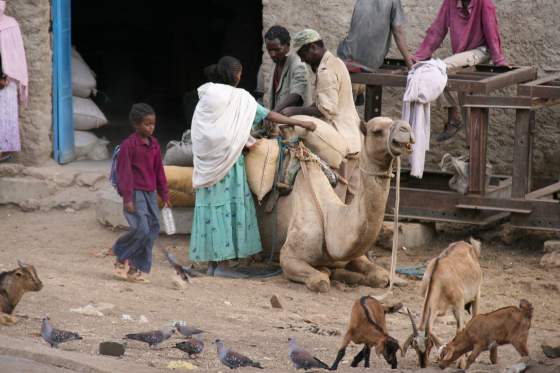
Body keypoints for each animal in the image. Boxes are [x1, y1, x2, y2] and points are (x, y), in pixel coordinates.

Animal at [258, 116, 412, 290]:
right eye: (377, 131)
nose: (405, 129)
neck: (329, 218)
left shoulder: (354, 255)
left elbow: (381, 277)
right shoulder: (289, 257)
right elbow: (321, 281)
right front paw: (331, 273)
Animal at [402, 237, 482, 368]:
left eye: (429, 344)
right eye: (414, 346)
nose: (423, 364)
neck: (439, 277)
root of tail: (469, 245)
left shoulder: (459, 303)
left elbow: (460, 330)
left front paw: (461, 363)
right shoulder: (436, 308)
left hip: (476, 294)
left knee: (474, 317)